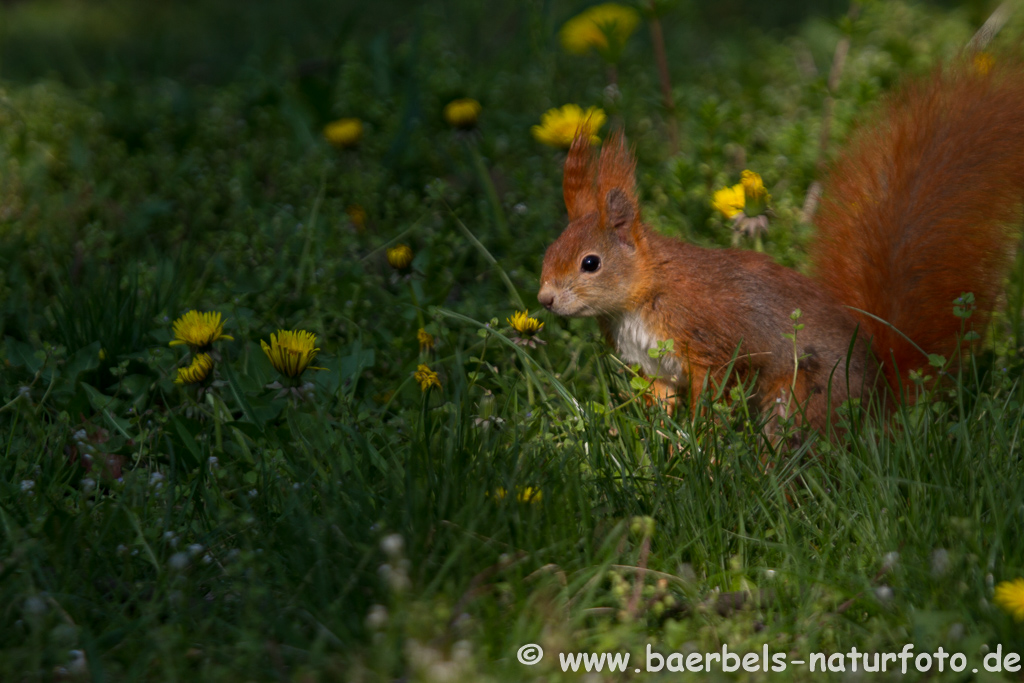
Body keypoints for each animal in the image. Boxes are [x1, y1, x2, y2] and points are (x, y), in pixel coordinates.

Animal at [536, 61, 1024, 430]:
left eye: (591, 263)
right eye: (549, 252)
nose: (545, 300)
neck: (643, 294)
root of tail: (882, 400)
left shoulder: (712, 346)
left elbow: (712, 399)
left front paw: (700, 450)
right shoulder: (655, 371)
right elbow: (660, 407)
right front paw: (664, 449)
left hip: (801, 397)